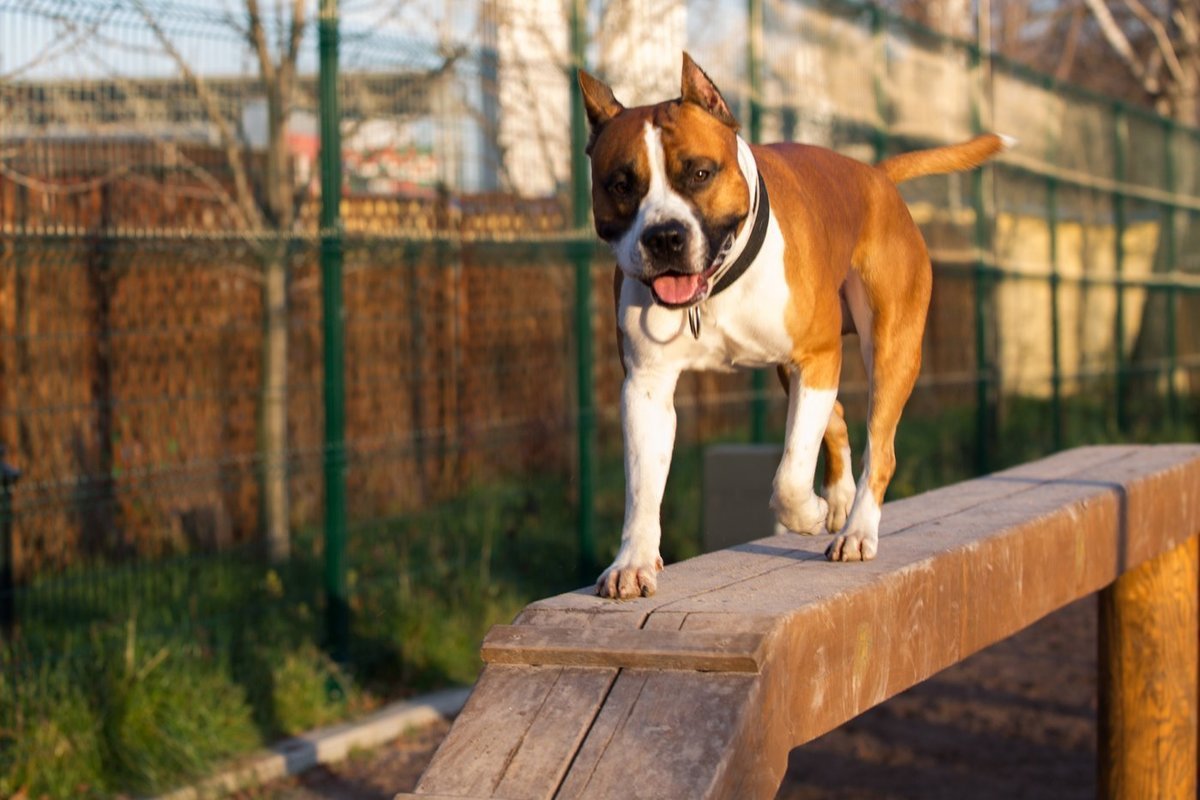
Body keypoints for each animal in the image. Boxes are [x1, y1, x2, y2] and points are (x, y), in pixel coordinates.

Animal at [576, 53, 1008, 597]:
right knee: (838, 417)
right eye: (620, 184)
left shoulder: (816, 357)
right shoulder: (646, 387)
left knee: (880, 446)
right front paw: (633, 561)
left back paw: (856, 529)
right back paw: (841, 500)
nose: (664, 237)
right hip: (796, 366)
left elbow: (788, 475)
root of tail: (875, 175)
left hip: (890, 350)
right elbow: (643, 484)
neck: (716, 287)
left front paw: (808, 513)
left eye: (700, 173)